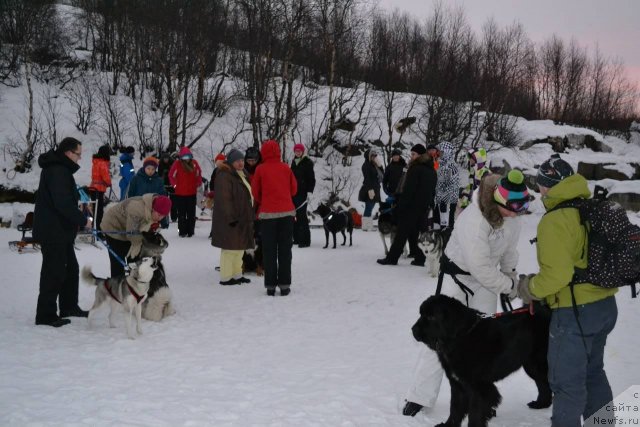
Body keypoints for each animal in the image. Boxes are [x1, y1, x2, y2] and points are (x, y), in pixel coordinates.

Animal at [412, 296, 552, 426]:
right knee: (543, 384)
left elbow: (475, 412)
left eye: (431, 317)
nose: (413, 330)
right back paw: (540, 404)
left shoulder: (479, 387)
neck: (459, 337)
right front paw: (448, 425)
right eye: (421, 314)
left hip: (540, 363)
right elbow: (455, 408)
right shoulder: (457, 383)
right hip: (532, 365)